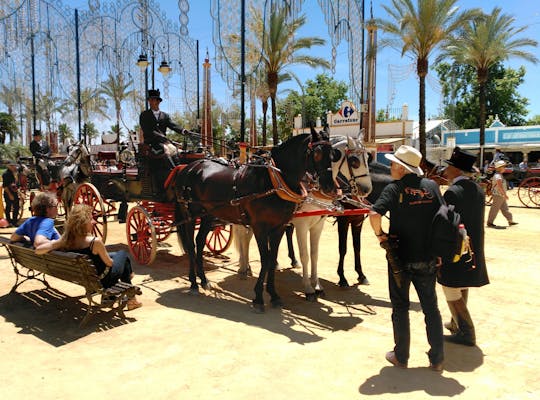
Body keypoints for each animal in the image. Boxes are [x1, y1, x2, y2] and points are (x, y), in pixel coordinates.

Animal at [173, 131, 336, 312]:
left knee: (200, 241)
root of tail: (188, 168)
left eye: (333, 154)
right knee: (191, 245)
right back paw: (194, 283)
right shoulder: (260, 228)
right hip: (190, 214)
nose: (330, 187)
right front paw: (258, 297)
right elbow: (265, 259)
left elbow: (272, 258)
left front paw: (274, 295)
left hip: (208, 215)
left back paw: (203, 280)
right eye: (317, 153)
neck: (272, 182)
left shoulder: (279, 227)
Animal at [236, 134, 372, 300]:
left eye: (368, 157)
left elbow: (315, 254)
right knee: (243, 237)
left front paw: (317, 285)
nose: (366, 189)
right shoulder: (302, 225)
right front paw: (308, 288)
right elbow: (305, 255)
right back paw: (243, 267)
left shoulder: (318, 224)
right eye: (354, 160)